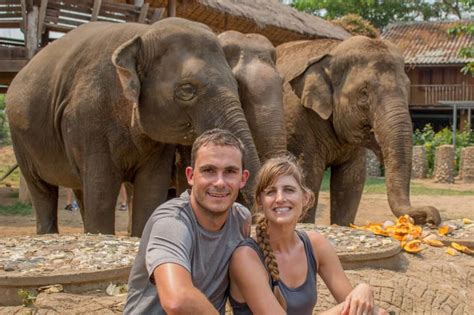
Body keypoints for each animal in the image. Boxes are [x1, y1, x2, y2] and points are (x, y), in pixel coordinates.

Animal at [4, 18, 260, 237]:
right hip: (20, 137)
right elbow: (102, 188)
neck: (143, 34)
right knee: (42, 189)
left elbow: (151, 186)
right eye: (187, 90)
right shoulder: (87, 118)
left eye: (237, 85)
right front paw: (103, 234)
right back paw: (49, 232)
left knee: (79, 187)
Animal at [276, 35, 442, 226]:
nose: (432, 218)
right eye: (364, 93)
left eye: (407, 88)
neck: (332, 52)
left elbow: (352, 179)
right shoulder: (300, 123)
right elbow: (309, 174)